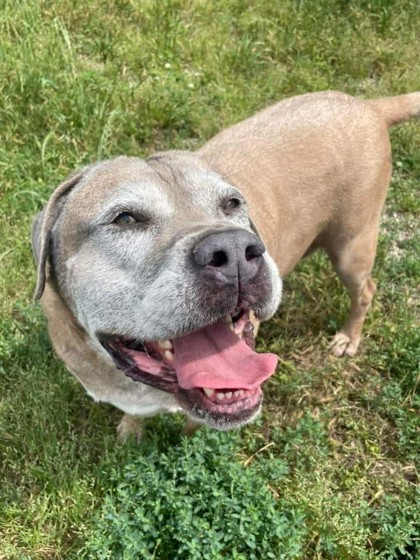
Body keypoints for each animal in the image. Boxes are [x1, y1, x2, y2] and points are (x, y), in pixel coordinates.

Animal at [31, 89, 418, 438]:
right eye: (125, 219)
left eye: (232, 203)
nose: (234, 252)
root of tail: (369, 106)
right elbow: (135, 415)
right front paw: (130, 432)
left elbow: (193, 427)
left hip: (352, 248)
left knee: (365, 290)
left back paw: (348, 338)